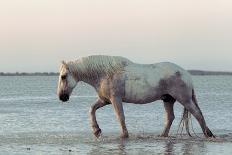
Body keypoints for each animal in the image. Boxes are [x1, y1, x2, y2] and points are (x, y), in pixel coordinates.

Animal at [57, 55, 215, 139]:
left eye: (64, 76)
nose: (61, 97)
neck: (105, 73)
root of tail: (186, 74)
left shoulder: (115, 99)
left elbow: (120, 116)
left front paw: (124, 135)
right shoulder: (105, 100)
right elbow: (91, 109)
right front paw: (96, 131)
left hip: (184, 99)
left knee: (198, 114)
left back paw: (208, 134)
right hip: (168, 100)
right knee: (170, 117)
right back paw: (162, 135)